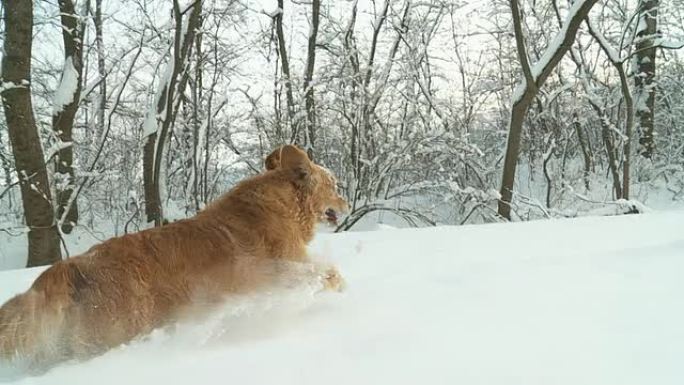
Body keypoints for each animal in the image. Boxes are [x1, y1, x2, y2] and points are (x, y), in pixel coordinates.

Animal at [0, 145, 348, 368]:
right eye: (333, 184)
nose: (346, 203)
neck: (284, 206)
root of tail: (69, 266)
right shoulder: (280, 272)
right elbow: (326, 273)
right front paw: (339, 290)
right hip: (116, 332)